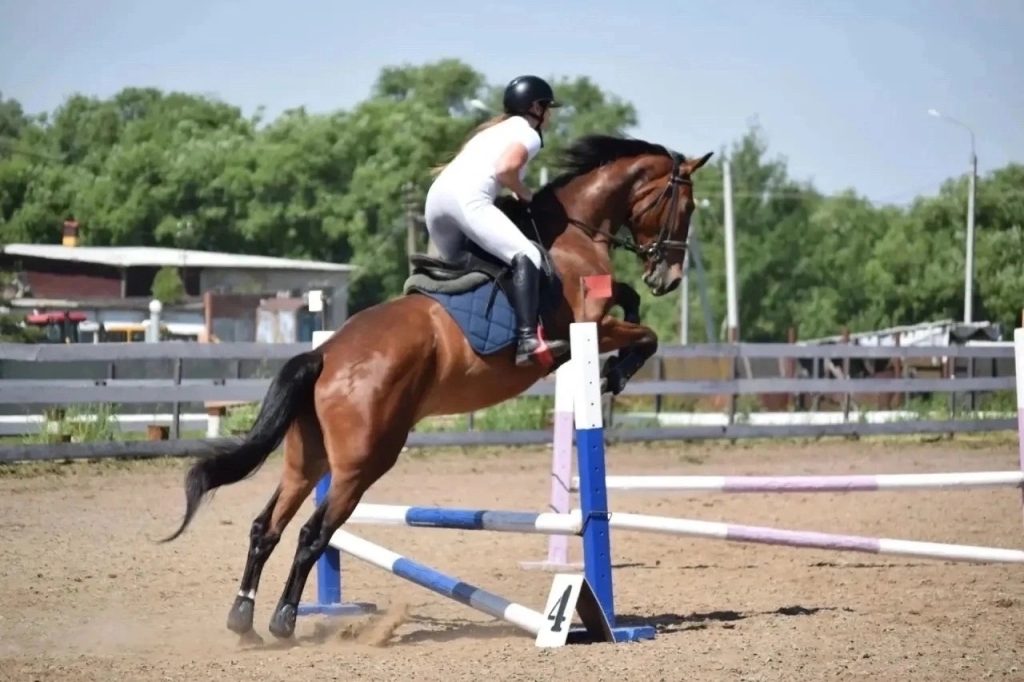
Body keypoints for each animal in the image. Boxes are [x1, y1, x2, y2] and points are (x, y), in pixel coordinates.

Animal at [161, 133, 713, 639]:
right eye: (685, 206)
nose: (668, 276)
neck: (573, 233)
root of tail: (324, 355)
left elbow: (633, 305)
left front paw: (620, 355)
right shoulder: (587, 323)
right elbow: (646, 333)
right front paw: (615, 371)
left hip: (308, 458)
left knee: (266, 526)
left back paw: (243, 619)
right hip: (362, 463)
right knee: (312, 534)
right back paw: (283, 621)